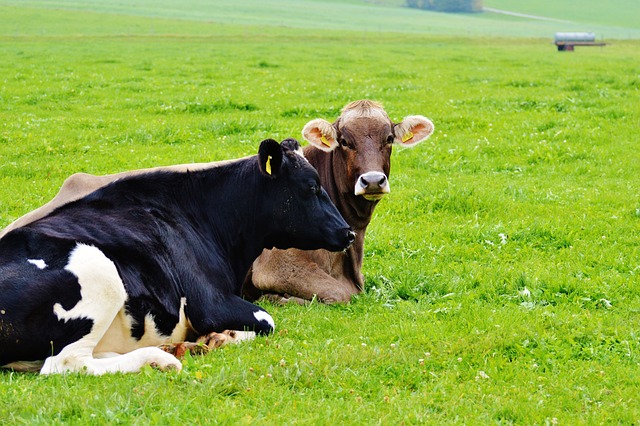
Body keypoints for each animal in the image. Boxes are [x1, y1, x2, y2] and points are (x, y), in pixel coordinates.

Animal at [0, 138, 356, 374]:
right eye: (311, 186)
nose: (348, 232)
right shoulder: (210, 303)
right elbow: (266, 320)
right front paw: (221, 337)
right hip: (99, 272)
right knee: (65, 362)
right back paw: (162, 358)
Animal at [244, 101, 436, 304]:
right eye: (344, 142)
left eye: (389, 138)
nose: (373, 180)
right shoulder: (275, 266)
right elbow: (339, 293)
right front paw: (273, 298)